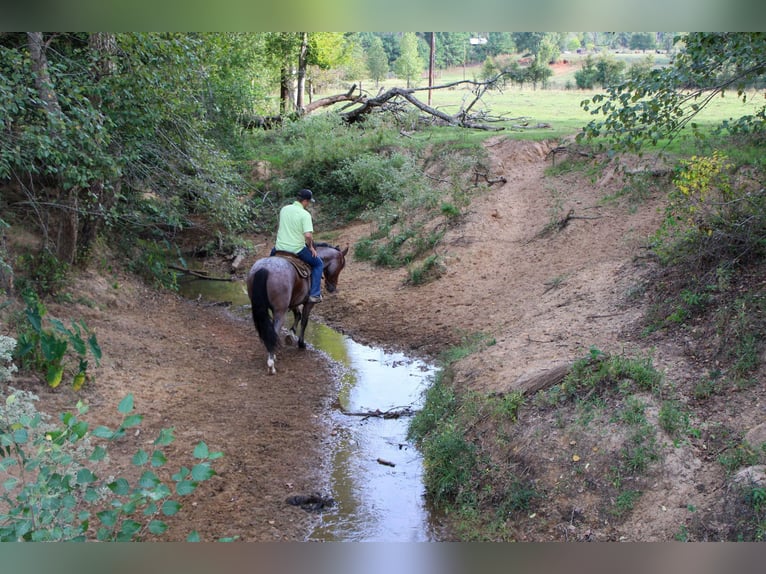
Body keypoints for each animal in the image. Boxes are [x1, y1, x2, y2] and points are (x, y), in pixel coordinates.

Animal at [248, 244, 350, 376]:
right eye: (341, 266)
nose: (332, 288)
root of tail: (264, 268)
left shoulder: (294, 301)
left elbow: (298, 315)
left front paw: (291, 334)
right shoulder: (308, 303)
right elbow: (304, 321)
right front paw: (301, 343)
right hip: (280, 311)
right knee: (274, 329)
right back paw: (271, 363)